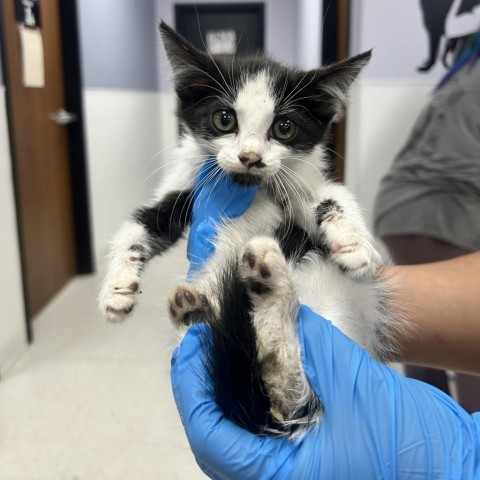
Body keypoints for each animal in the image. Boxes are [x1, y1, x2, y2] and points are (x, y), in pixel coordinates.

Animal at [101, 22, 402, 438]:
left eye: (285, 127)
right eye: (224, 119)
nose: (250, 157)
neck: (247, 187)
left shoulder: (299, 185)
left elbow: (331, 195)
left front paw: (353, 244)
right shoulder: (187, 187)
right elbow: (139, 224)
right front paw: (117, 291)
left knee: (293, 401)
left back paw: (269, 293)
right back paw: (200, 306)